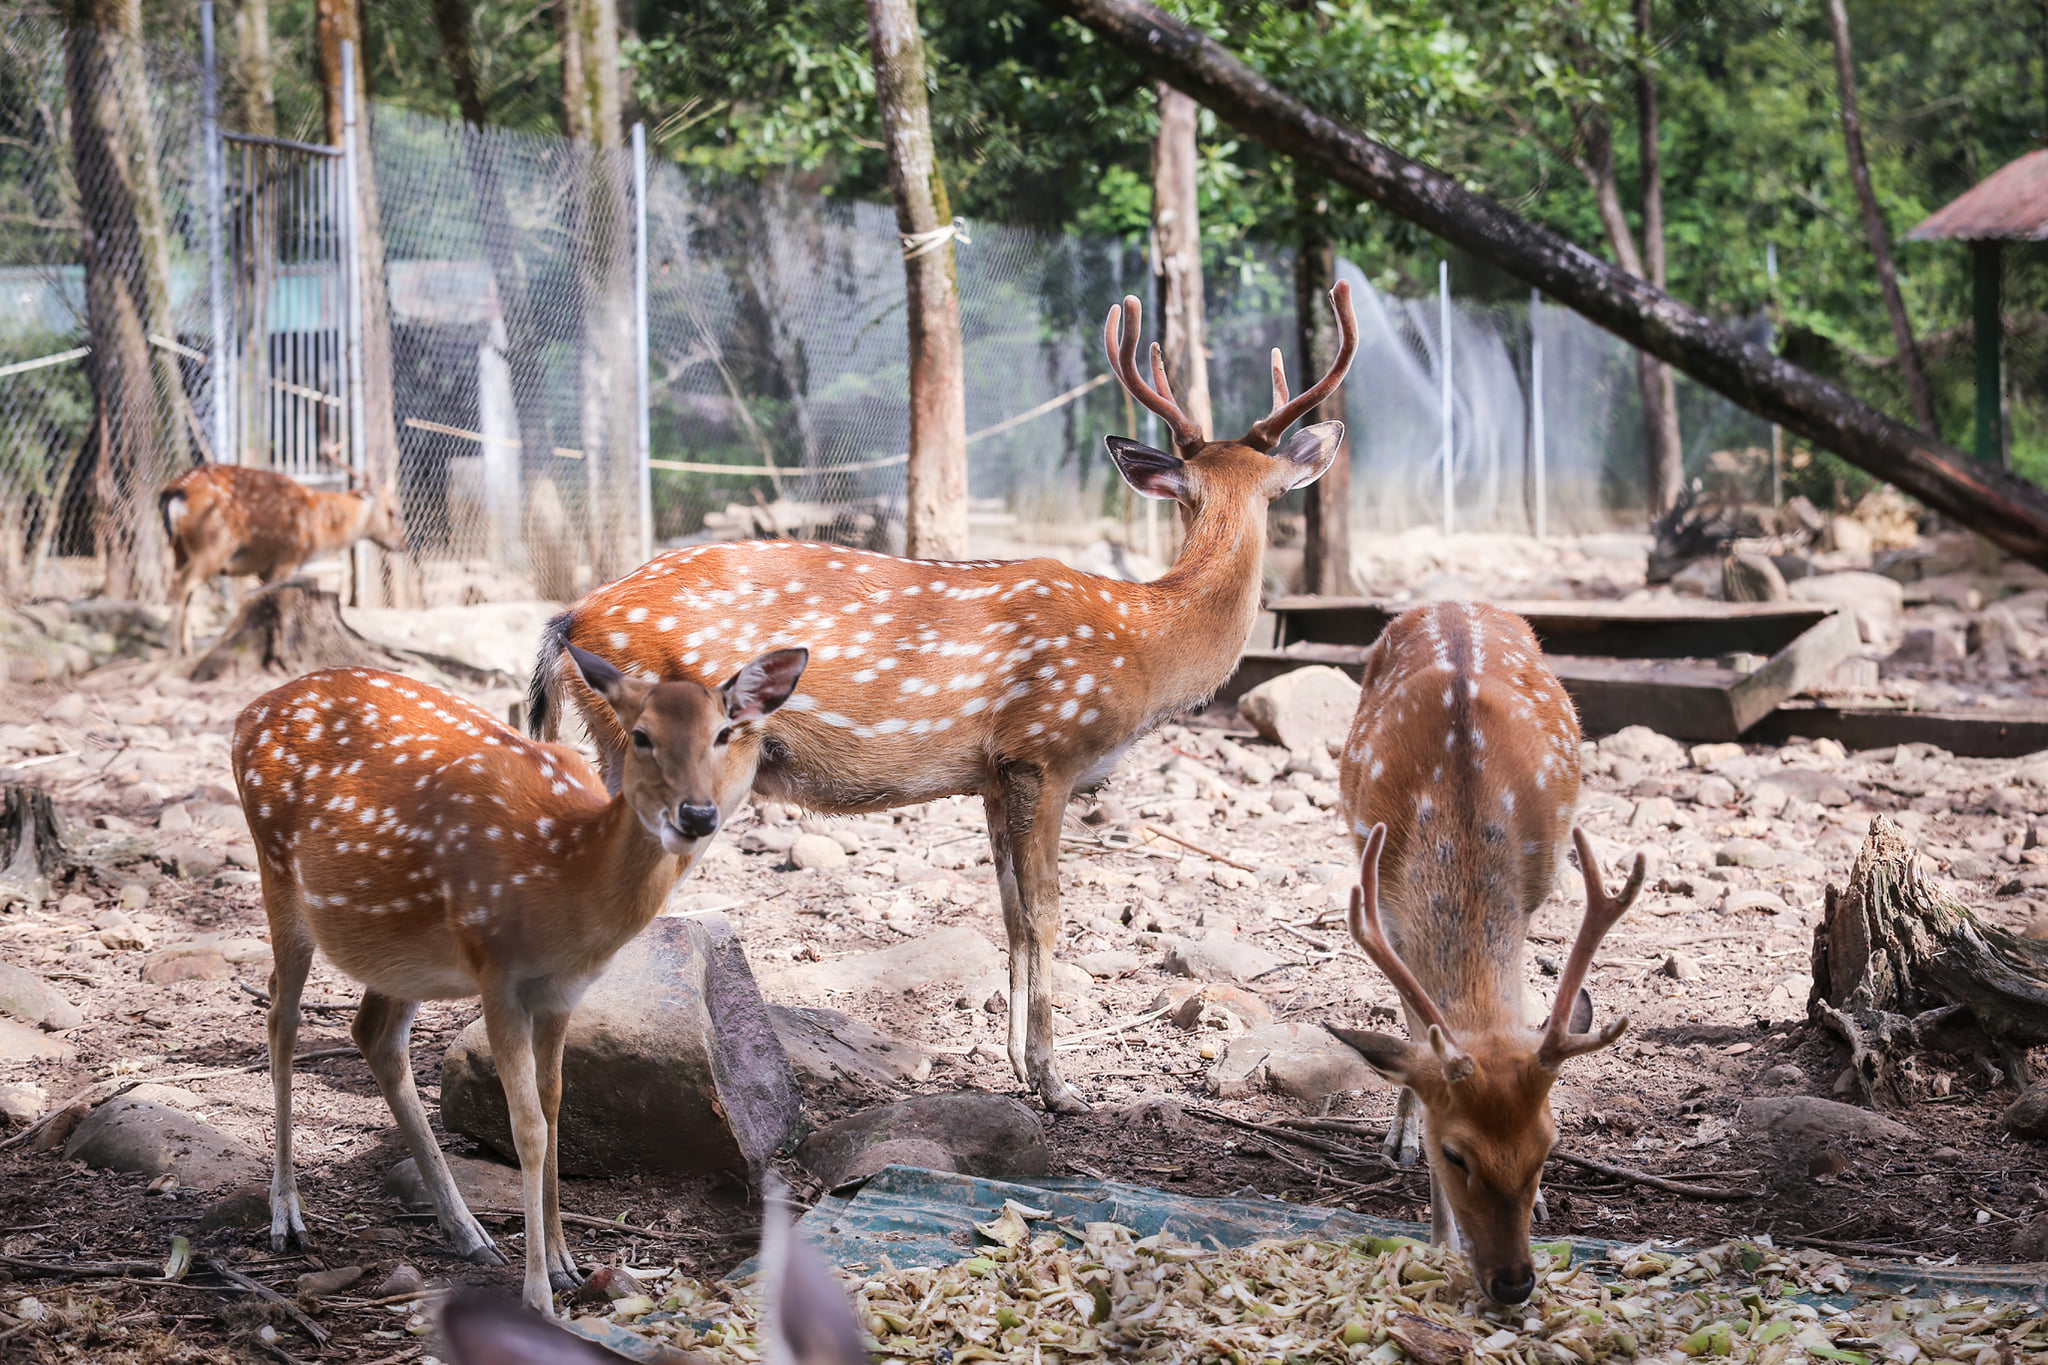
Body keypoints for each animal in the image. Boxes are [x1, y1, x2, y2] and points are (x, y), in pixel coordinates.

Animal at [234, 646, 806, 1317]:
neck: (565, 872)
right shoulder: (497, 971)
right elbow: (527, 1126)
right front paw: (538, 1297)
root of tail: (248, 712)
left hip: (402, 954)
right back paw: (287, 1217)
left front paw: (564, 1262)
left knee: (373, 1033)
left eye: (723, 733)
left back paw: (467, 1231)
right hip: (277, 871)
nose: (695, 814)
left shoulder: (563, 990)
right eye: (640, 736)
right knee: (281, 1015)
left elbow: (556, 1105)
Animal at [528, 282, 1359, 1113]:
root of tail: (568, 621)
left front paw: (1019, 1065)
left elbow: (1012, 914)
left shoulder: (992, 773)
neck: (1146, 639)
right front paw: (1060, 1084)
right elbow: (1049, 915)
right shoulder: (1046, 748)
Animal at [1327, 601, 1646, 1309]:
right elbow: (1418, 1041)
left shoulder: (1533, 894)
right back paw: (1396, 1139)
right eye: (1455, 1154)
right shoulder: (1389, 912)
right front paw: (1438, 1234)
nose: (1515, 1282)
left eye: (1549, 1146)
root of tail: (1450, 602)